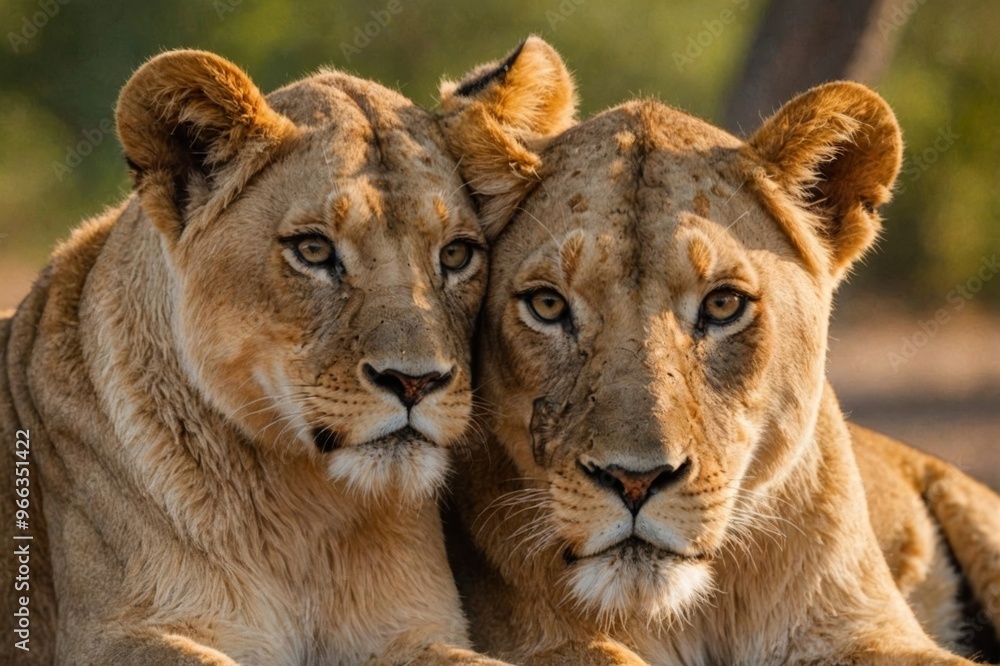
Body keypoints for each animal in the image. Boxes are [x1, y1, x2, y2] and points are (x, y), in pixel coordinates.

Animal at [0, 50, 517, 665]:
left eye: (456, 254)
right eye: (313, 249)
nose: (414, 382)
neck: (308, 515)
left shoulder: (414, 632)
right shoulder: (108, 636)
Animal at [435, 38, 1000, 665]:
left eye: (724, 304)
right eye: (549, 305)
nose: (635, 482)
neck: (699, 615)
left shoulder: (866, 627)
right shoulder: (532, 639)